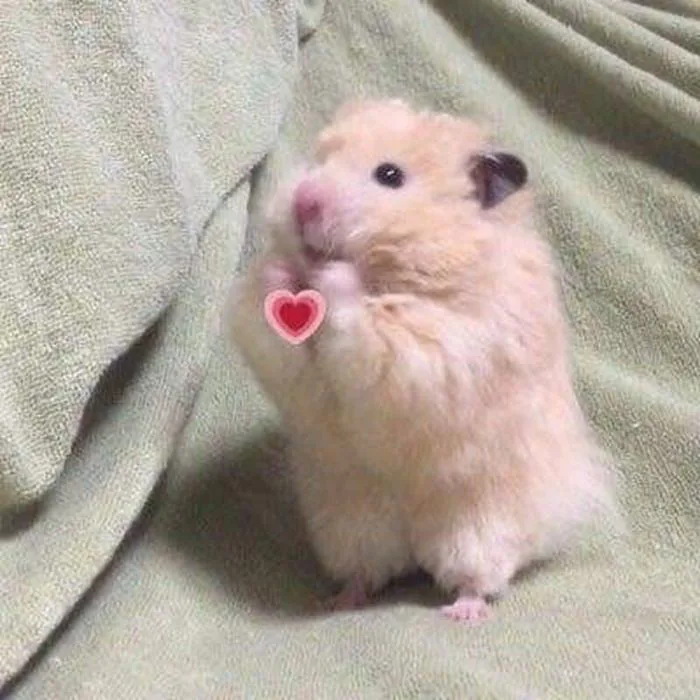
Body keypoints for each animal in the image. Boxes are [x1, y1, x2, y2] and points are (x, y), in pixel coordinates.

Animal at [229, 99, 619, 622]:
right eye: (319, 159)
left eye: (389, 175)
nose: (304, 201)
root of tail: (413, 543)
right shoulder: (278, 355)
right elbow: (272, 323)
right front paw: (280, 271)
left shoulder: (441, 350)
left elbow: (371, 324)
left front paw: (334, 276)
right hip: (350, 521)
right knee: (366, 571)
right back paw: (338, 600)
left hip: (478, 525)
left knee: (478, 576)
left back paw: (463, 612)